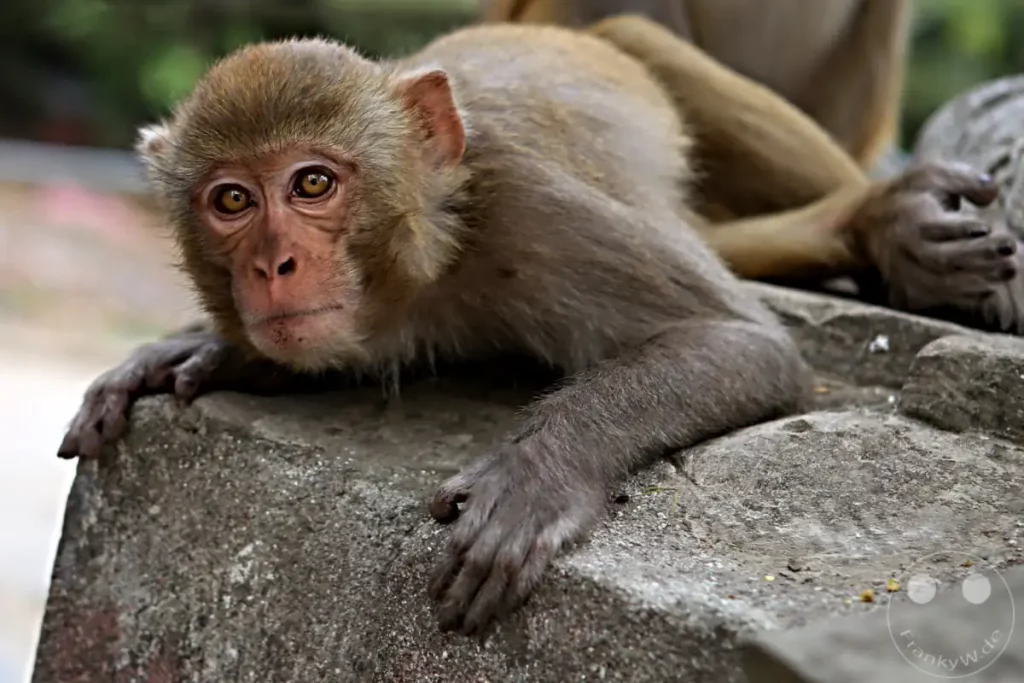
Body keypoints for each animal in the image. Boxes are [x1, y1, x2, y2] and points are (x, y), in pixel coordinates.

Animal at [56, 18, 1016, 638]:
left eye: (313, 184)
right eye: (230, 201)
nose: (273, 266)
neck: (427, 256)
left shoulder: (529, 200)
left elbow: (742, 341)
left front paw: (538, 473)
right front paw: (210, 349)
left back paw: (882, 219)